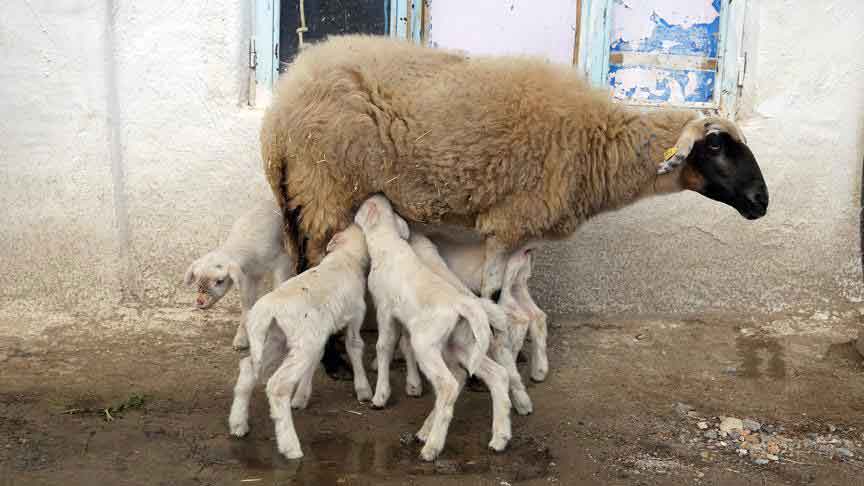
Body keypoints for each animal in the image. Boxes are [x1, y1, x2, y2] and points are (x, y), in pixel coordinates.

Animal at [184, 197, 296, 350]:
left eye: (220, 281)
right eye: (197, 280)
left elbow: (278, 289)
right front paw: (241, 340)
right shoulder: (249, 275)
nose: (200, 302)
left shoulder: (282, 261)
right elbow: (247, 303)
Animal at [226, 224, 372, 460]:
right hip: (297, 341)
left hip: (276, 338)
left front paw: (301, 397)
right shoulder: (355, 315)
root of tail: (267, 311)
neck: (344, 258)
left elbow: (317, 358)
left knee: (248, 367)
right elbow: (354, 346)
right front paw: (364, 390)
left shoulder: (319, 332)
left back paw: (238, 424)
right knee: (277, 386)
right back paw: (290, 446)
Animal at [260, 33, 768, 300]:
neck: (597, 142)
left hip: (305, 193)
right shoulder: (509, 222)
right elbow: (492, 292)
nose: (762, 202)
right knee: (314, 265)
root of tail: (282, 105)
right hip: (325, 186)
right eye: (717, 145)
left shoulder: (518, 229)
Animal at [352, 194, 510, 460]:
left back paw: (432, 447)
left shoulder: (384, 307)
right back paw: (499, 439)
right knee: (495, 375)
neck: (389, 243)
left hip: (427, 344)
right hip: (463, 344)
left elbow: (384, 346)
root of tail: (462, 305)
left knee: (449, 384)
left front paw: (380, 396)